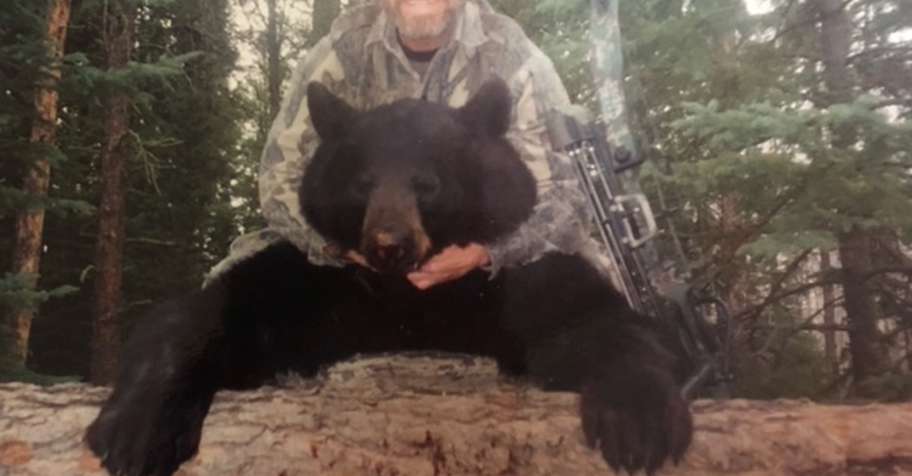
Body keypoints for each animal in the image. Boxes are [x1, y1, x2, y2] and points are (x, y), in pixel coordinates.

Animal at [85, 78, 693, 476]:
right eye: (363, 181)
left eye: (428, 183)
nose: (389, 244)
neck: (406, 299)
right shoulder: (316, 282)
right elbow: (202, 314)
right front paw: (137, 430)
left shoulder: (513, 279)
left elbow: (596, 319)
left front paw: (638, 418)